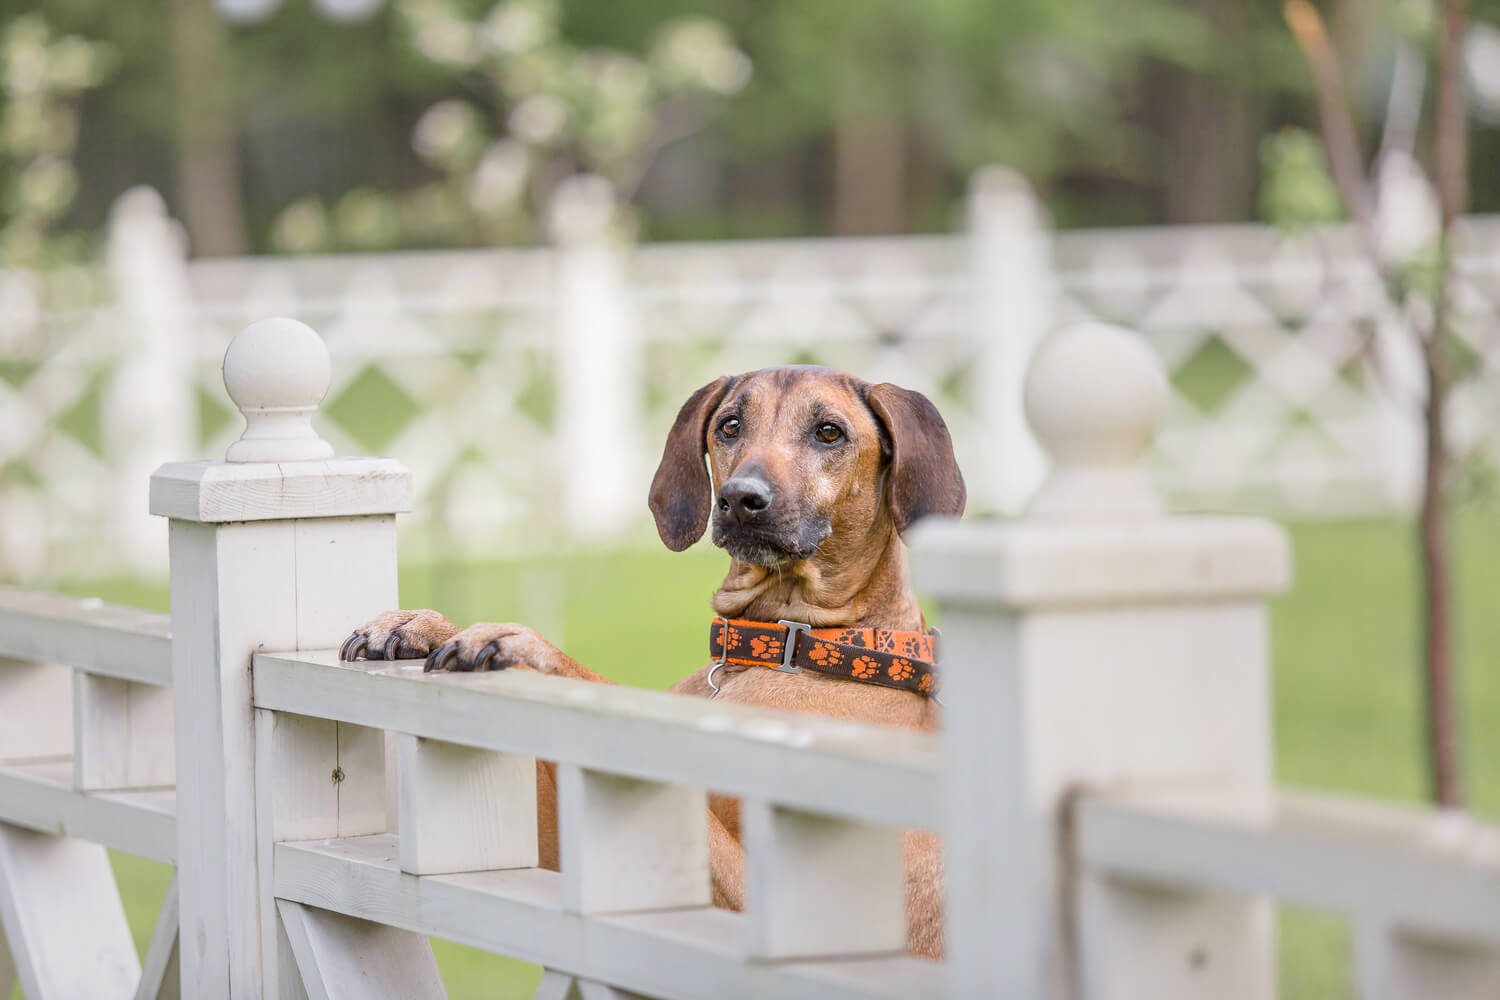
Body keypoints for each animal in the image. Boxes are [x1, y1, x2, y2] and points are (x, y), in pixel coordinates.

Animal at [339, 365, 960, 953]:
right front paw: (418, 623)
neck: (791, 645)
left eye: (829, 432)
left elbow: (601, 685)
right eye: (730, 425)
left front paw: (518, 640)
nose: (741, 499)